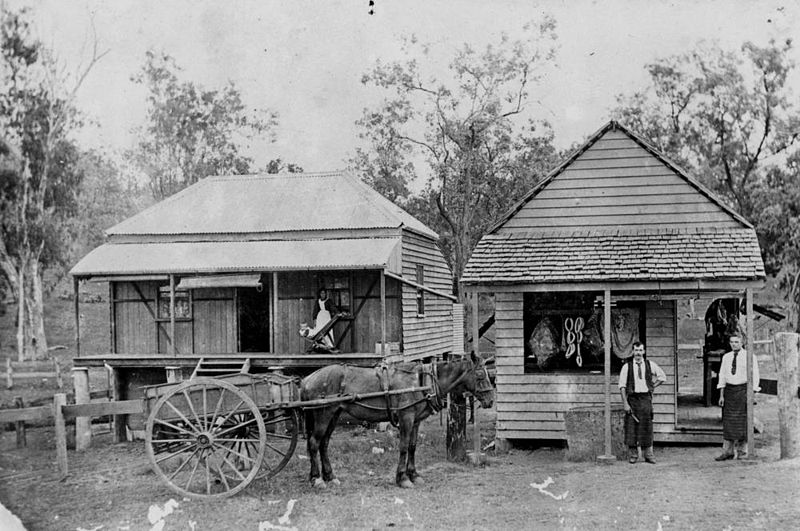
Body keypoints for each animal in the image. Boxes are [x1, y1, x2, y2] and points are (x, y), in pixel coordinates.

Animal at [302, 354, 494, 490]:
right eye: (480, 375)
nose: (491, 400)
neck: (421, 381)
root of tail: (307, 379)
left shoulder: (416, 421)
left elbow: (412, 447)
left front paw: (414, 475)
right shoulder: (406, 417)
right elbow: (403, 447)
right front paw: (402, 478)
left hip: (333, 415)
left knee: (324, 444)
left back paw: (330, 476)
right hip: (323, 415)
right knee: (314, 443)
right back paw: (316, 479)